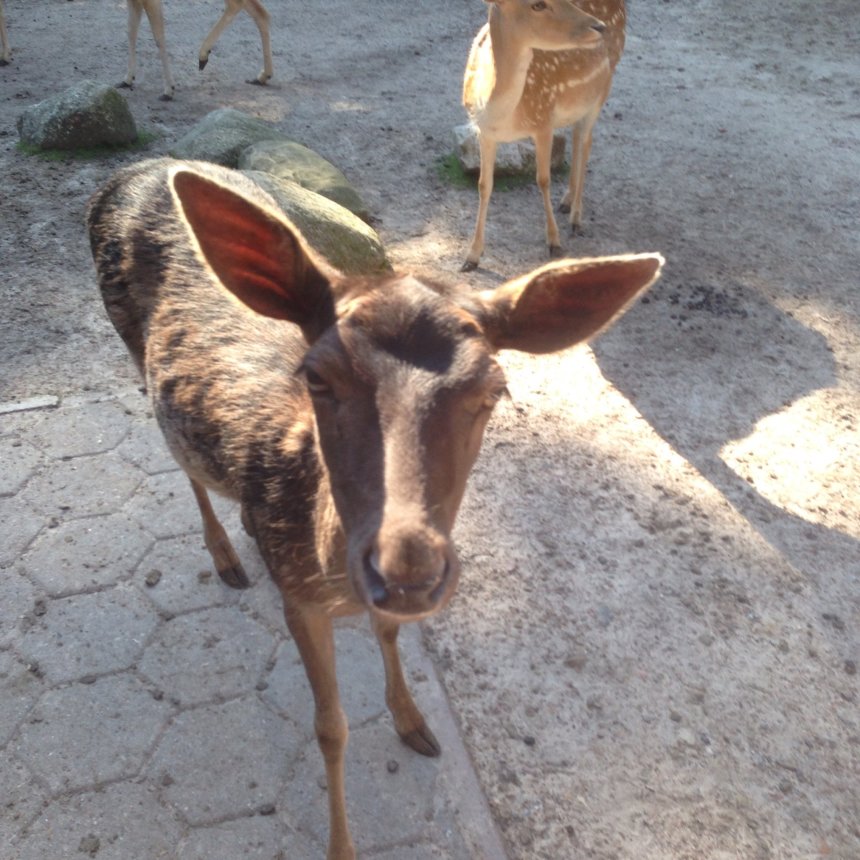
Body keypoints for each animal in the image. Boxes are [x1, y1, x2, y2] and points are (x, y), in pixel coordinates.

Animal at [87, 158, 660, 856]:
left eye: (494, 389)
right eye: (317, 375)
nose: (406, 568)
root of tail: (127, 171)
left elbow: (389, 636)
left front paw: (413, 721)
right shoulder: (300, 599)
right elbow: (330, 727)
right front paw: (341, 845)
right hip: (126, 342)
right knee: (173, 447)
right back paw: (227, 555)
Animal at [121, 0, 272, 100]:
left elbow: (158, 37)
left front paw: (169, 90)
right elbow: (131, 31)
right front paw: (127, 79)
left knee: (240, 6)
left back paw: (203, 56)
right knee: (261, 12)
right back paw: (262, 76)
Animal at [464, 0, 624, 270]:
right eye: (538, 5)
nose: (599, 26)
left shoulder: (544, 121)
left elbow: (543, 180)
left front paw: (554, 242)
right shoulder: (483, 132)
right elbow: (484, 185)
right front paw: (472, 256)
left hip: (604, 84)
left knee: (587, 140)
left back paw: (576, 218)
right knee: (577, 135)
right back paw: (567, 201)